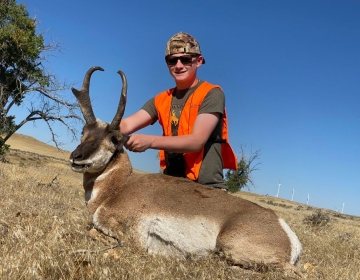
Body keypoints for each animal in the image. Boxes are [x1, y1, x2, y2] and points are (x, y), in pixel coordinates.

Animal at [69, 67, 300, 274]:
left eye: (114, 139)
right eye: (83, 131)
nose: (75, 157)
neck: (118, 188)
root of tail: (287, 232)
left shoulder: (132, 240)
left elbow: (92, 231)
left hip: (232, 245)